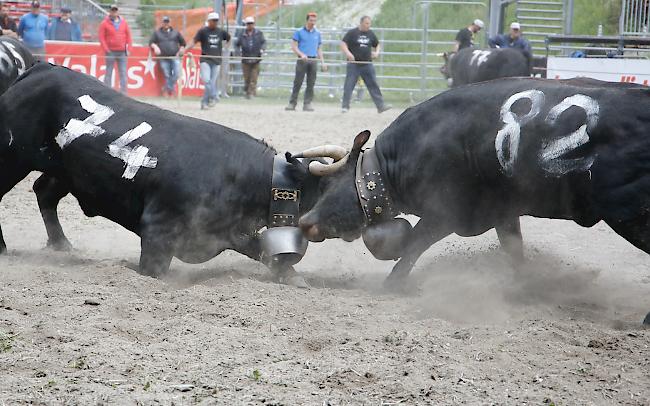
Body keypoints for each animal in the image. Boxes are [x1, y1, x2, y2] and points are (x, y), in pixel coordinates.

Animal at [298, 77, 648, 324]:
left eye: (329, 184)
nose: (305, 222)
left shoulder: (447, 212)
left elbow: (414, 245)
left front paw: (392, 283)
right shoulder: (502, 212)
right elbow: (514, 249)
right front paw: (525, 287)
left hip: (631, 218)